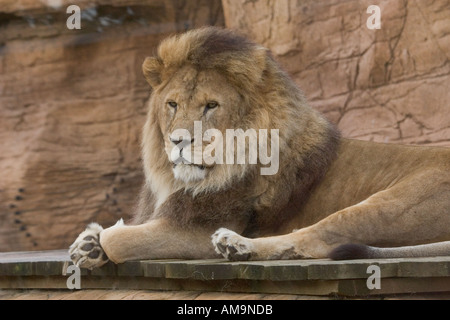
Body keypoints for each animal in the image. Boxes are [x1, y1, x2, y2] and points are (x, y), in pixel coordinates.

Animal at [68, 26, 448, 270]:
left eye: (211, 106)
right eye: (172, 105)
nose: (179, 141)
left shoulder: (195, 231)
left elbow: (120, 240)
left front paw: (100, 238)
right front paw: (88, 244)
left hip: (390, 205)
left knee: (314, 240)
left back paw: (237, 245)